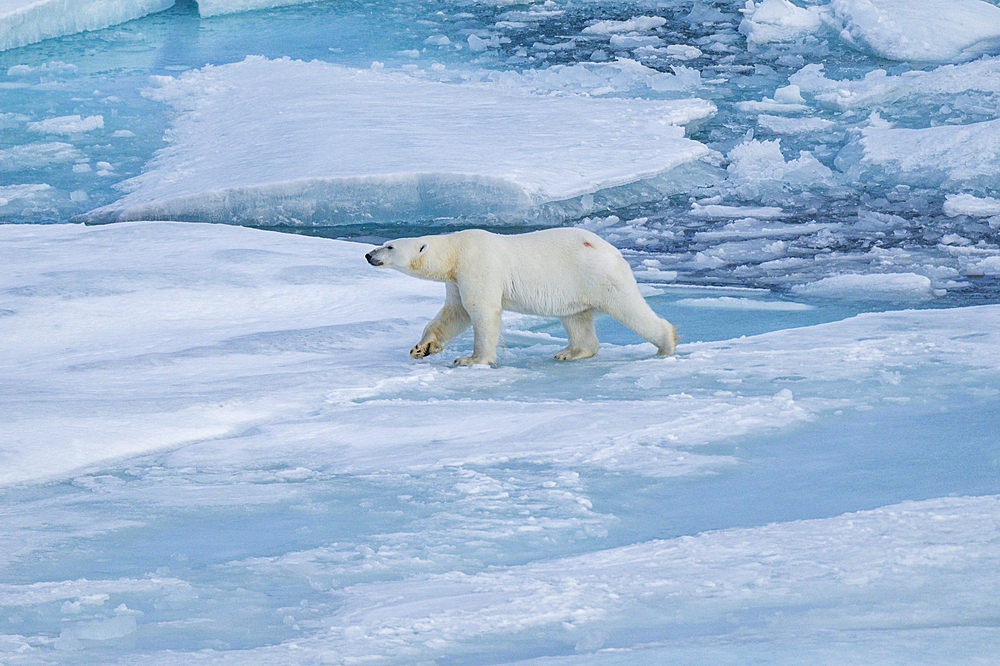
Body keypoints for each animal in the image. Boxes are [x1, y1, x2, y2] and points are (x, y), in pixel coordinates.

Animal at [364, 227, 676, 364]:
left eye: (389, 246)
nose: (368, 254)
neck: (456, 250)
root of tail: (611, 249)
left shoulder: (478, 265)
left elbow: (482, 311)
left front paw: (471, 360)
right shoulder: (456, 279)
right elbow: (454, 313)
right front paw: (422, 348)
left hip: (598, 275)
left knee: (629, 308)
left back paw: (667, 344)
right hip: (573, 285)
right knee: (576, 318)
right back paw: (569, 352)